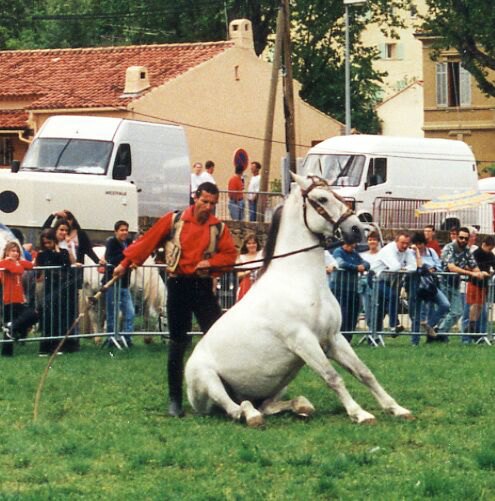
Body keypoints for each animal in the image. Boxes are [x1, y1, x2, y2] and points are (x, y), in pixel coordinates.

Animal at [184, 173, 412, 426]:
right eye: (322, 198)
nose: (356, 229)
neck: (300, 280)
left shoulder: (333, 338)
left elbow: (364, 372)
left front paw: (396, 408)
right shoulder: (303, 341)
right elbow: (332, 377)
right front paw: (360, 413)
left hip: (277, 385)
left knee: (266, 406)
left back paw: (300, 406)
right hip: (208, 380)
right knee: (236, 409)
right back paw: (251, 415)